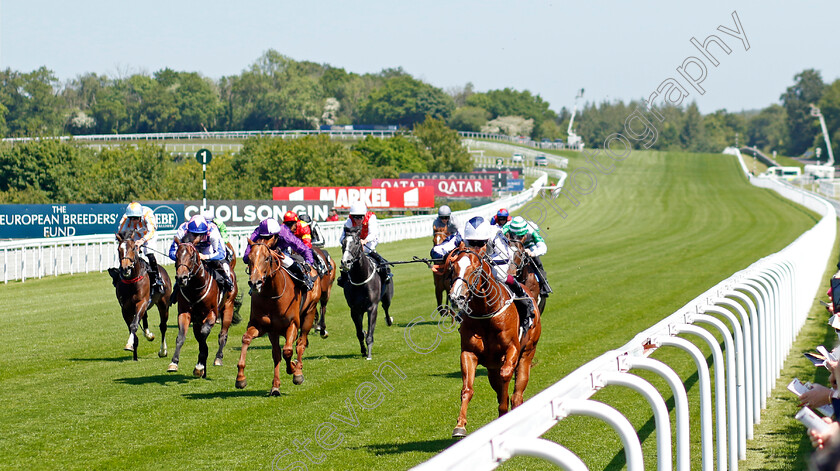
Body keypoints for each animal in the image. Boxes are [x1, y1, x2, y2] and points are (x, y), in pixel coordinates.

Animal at [167, 242, 238, 378]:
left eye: (191, 257)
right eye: (177, 256)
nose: (181, 278)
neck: (195, 288)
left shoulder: (212, 314)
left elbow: (204, 334)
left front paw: (200, 365)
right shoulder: (185, 313)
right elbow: (182, 337)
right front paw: (174, 362)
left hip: (228, 307)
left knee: (223, 334)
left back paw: (218, 357)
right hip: (197, 321)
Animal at [236, 238, 322, 396]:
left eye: (267, 258)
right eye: (249, 258)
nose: (255, 282)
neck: (272, 294)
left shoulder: (292, 324)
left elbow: (287, 351)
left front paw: (293, 368)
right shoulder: (262, 326)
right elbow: (246, 339)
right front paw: (240, 378)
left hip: (309, 313)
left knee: (300, 343)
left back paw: (298, 372)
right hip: (274, 332)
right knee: (276, 353)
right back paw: (275, 386)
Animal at [342, 227, 394, 360]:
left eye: (356, 243)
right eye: (343, 243)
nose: (345, 262)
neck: (360, 278)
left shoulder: (372, 307)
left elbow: (370, 333)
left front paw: (369, 354)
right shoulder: (355, 310)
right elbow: (360, 333)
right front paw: (364, 350)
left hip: (387, 297)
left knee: (386, 308)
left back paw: (389, 320)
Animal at [450, 245, 540, 440]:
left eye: (475, 270)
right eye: (453, 268)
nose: (456, 297)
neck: (486, 313)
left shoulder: (512, 349)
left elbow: (506, 377)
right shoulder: (469, 353)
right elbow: (467, 389)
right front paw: (460, 425)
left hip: (527, 353)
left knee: (517, 393)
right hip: (491, 368)